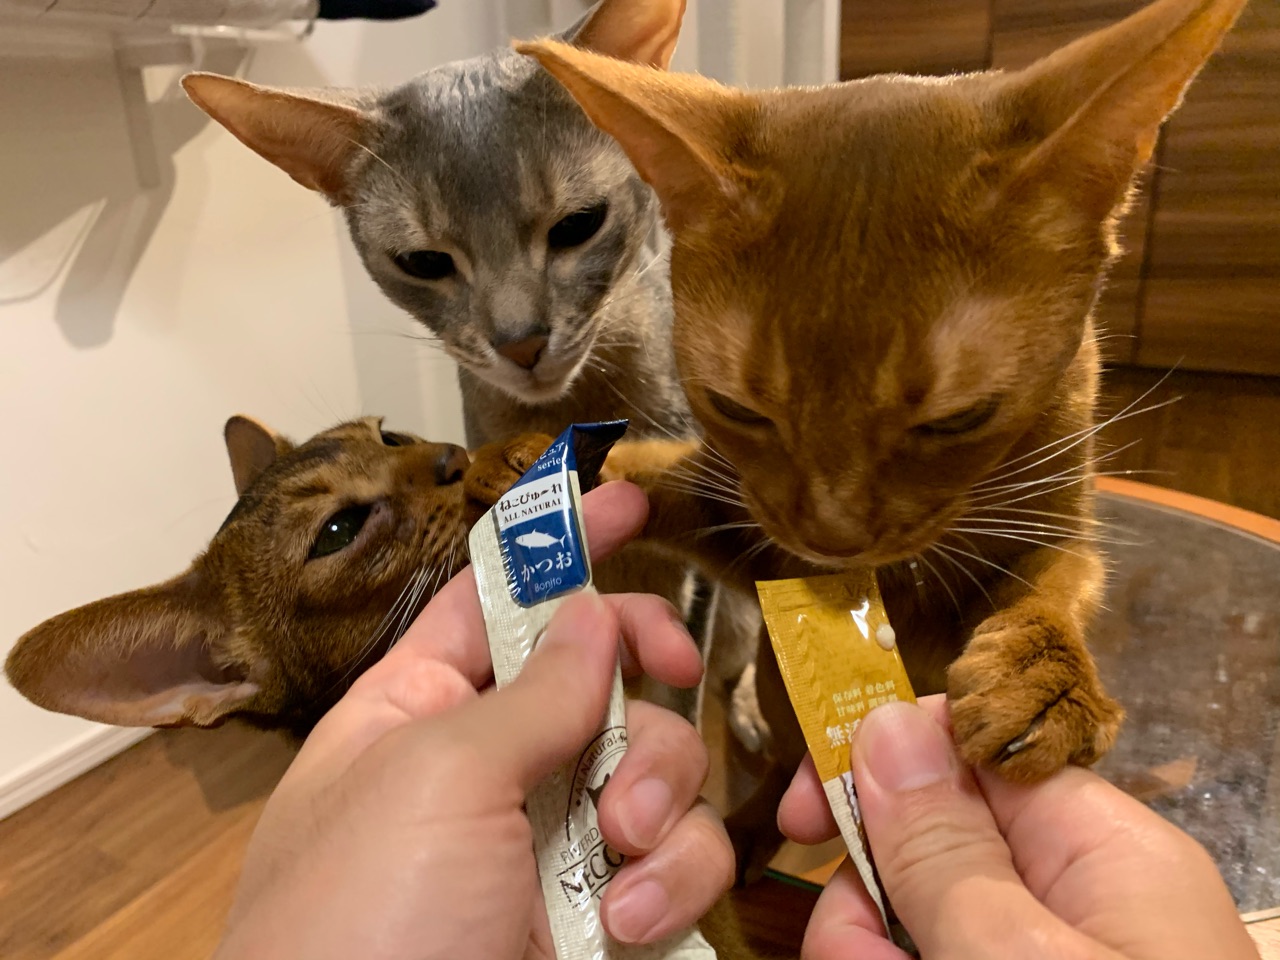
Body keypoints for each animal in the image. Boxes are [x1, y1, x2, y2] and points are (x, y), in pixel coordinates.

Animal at [519, 0, 1248, 868]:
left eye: (959, 418)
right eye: (739, 409)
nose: (833, 536)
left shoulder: (1058, 520)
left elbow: (1060, 582)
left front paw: (1047, 679)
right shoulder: (751, 535)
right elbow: (659, 475)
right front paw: (515, 467)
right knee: (779, 780)